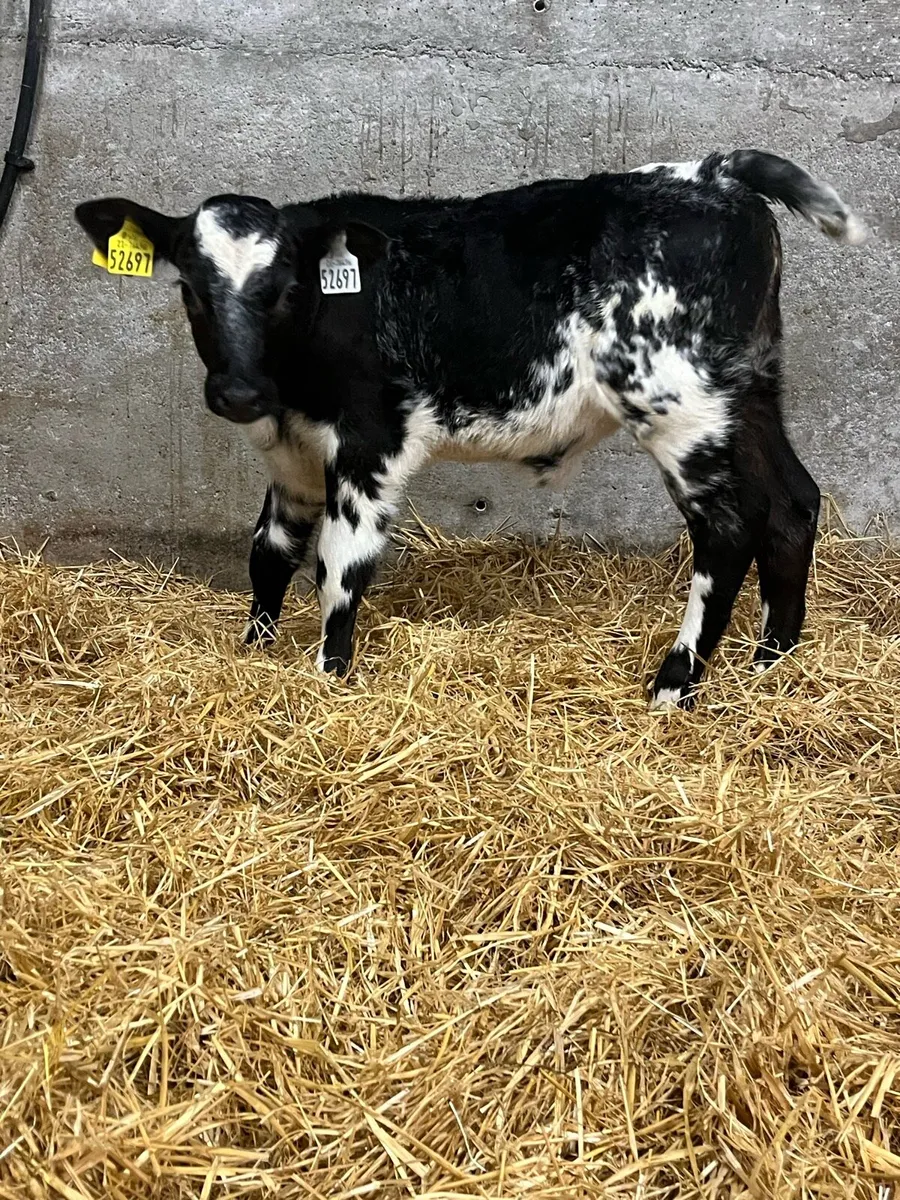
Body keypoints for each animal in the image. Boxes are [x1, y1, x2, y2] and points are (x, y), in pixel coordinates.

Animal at [75, 150, 867, 708]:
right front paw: (252, 656)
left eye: (287, 287)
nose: (238, 392)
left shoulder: (371, 442)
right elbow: (268, 556)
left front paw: (330, 678)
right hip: (751, 392)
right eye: (190, 288)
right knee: (793, 503)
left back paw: (675, 685)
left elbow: (339, 564)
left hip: (679, 404)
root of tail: (715, 173)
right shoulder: (293, 454)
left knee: (729, 527)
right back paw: (772, 666)